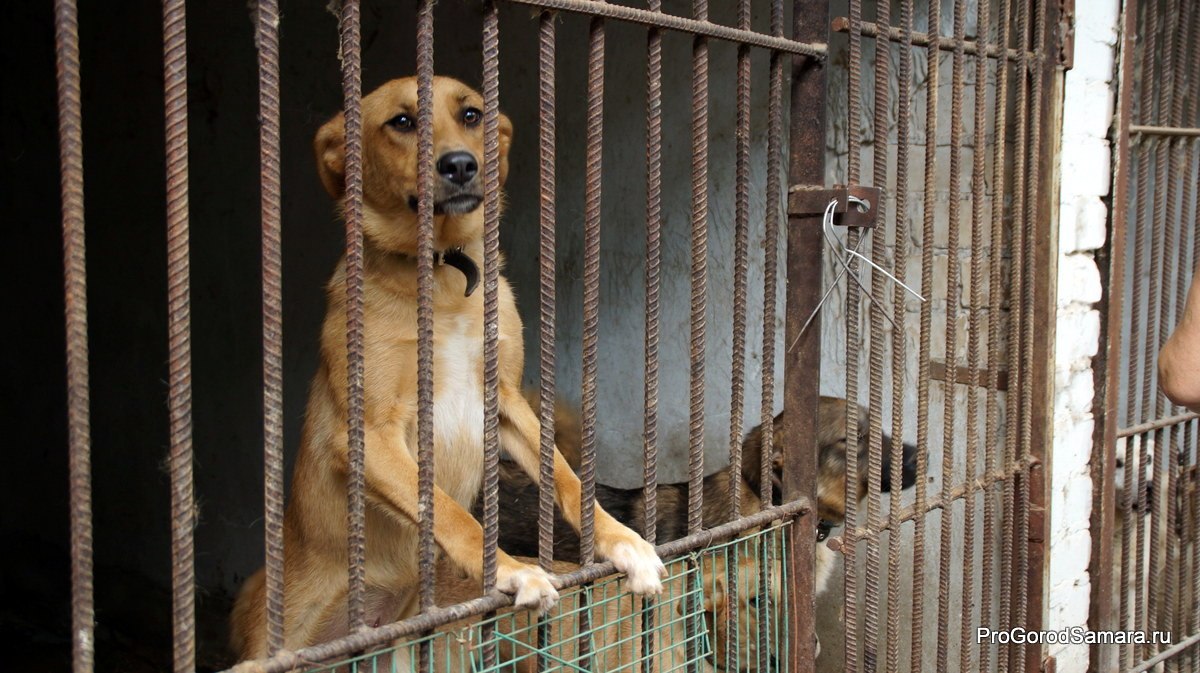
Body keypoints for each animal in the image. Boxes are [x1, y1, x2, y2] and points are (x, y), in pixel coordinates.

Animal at [226, 77, 667, 662]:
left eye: (472, 114)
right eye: (402, 122)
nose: (459, 164)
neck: (443, 278)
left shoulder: (506, 402)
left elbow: (566, 476)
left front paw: (622, 540)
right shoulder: (370, 435)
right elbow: (447, 509)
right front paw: (512, 570)